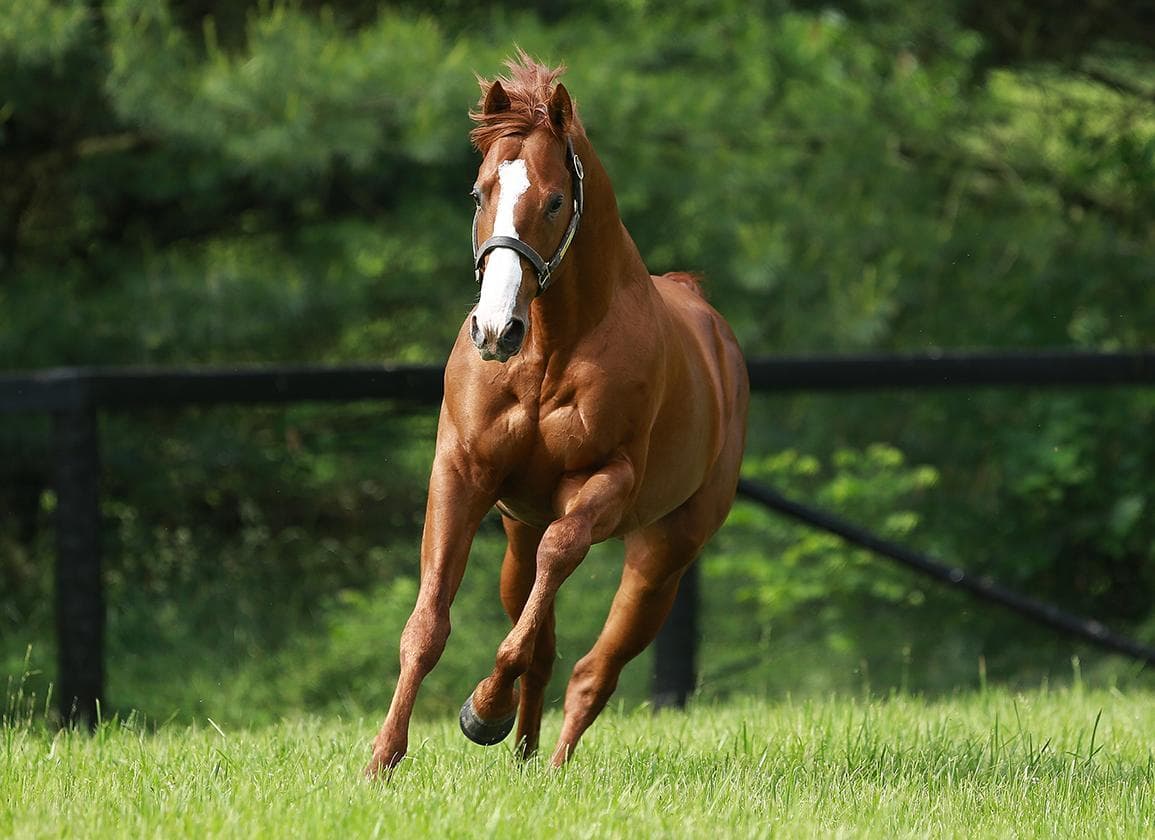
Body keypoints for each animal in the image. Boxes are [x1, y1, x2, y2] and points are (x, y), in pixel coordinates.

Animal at [366, 53, 748, 775]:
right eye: (479, 193)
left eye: (553, 200)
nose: (494, 330)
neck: (548, 349)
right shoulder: (461, 474)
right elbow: (428, 624)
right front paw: (382, 759)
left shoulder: (606, 480)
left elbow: (556, 568)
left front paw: (481, 710)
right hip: (517, 536)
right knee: (542, 641)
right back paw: (521, 752)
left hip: (663, 556)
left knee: (593, 670)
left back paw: (548, 762)